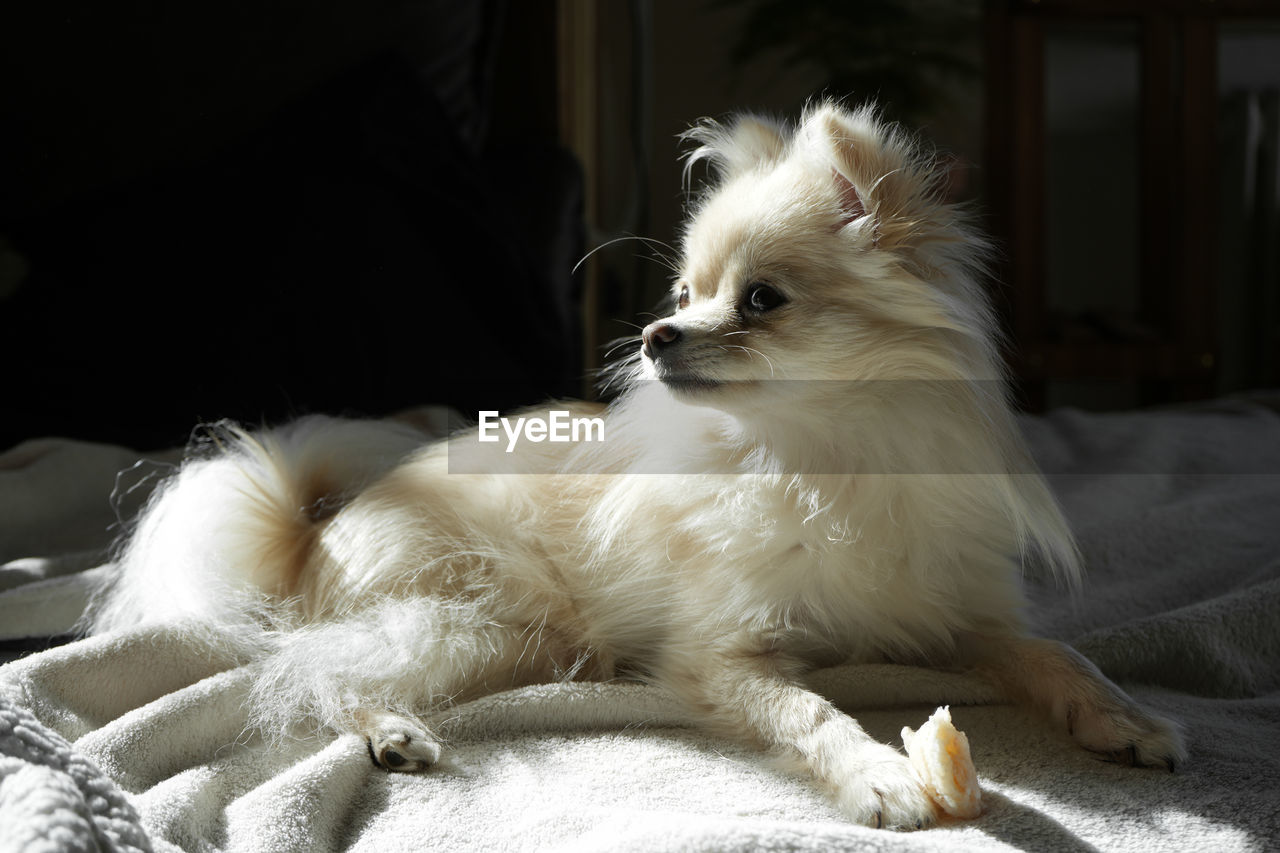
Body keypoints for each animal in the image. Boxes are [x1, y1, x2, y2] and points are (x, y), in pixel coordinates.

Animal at [92, 103, 1187, 824]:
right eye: (683, 292)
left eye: (759, 301)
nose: (658, 333)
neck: (814, 456)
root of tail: (311, 525)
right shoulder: (723, 656)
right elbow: (809, 708)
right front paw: (879, 774)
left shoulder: (962, 619)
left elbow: (1060, 656)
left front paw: (1125, 718)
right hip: (489, 615)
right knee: (311, 669)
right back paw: (390, 730)